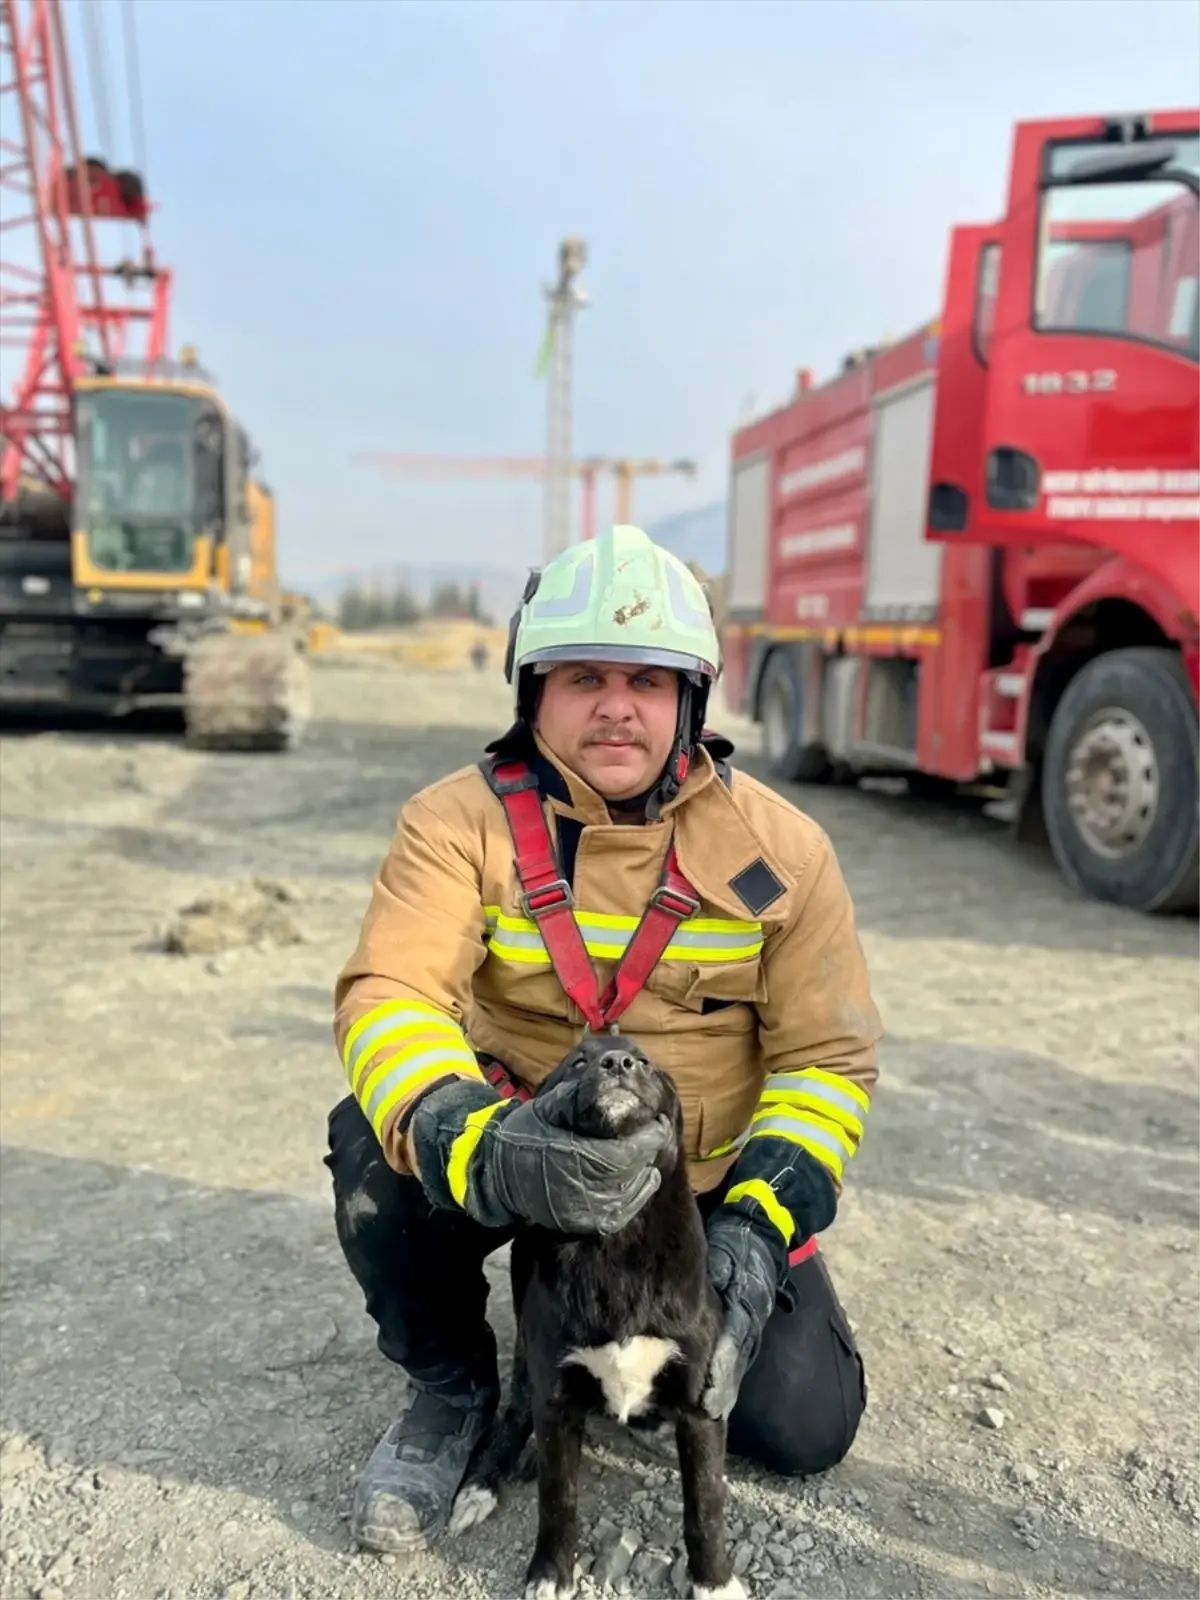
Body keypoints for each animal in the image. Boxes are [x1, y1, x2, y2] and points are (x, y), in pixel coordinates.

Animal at [448, 1036, 742, 1600]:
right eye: (578, 1061)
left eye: (645, 1061)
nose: (618, 1063)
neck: (616, 1244)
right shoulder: (557, 1399)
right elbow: (558, 1500)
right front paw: (550, 1574)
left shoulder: (701, 1404)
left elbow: (706, 1506)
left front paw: (714, 1582)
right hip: (528, 1361)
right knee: (515, 1414)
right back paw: (482, 1484)